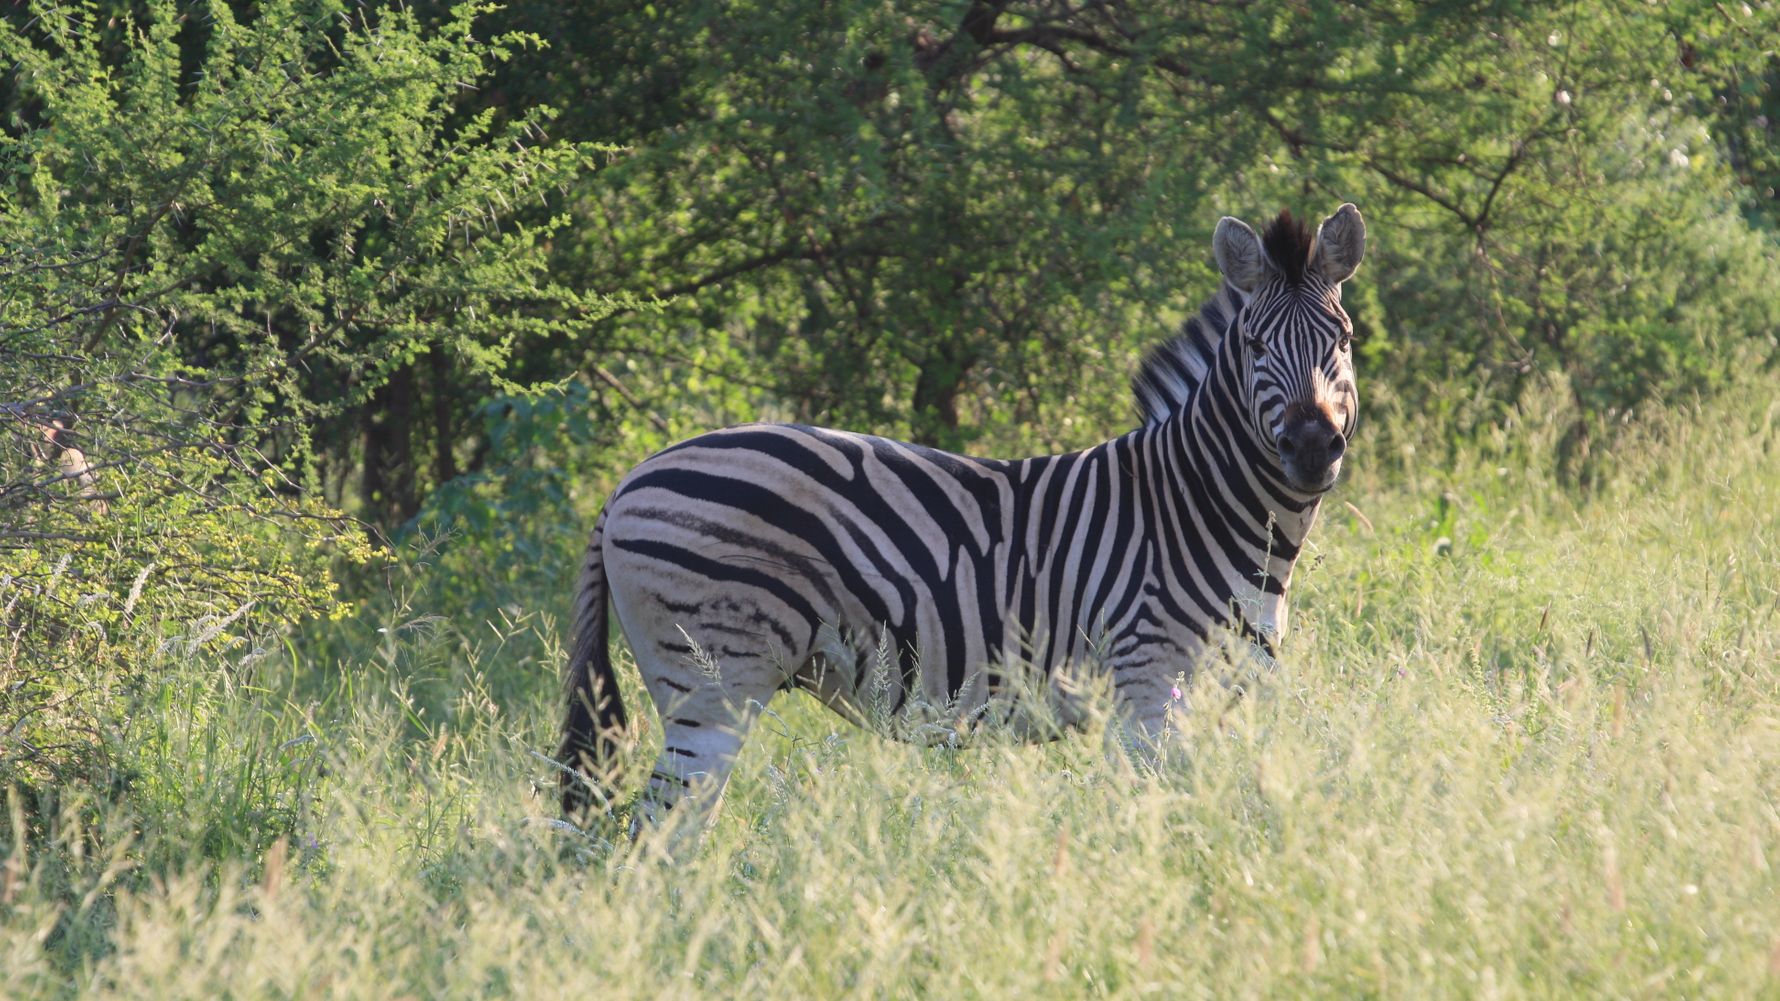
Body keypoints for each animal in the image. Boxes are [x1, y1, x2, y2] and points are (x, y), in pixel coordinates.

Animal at [558, 204, 1366, 835]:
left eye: (1343, 339)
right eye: (1256, 345)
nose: (1312, 445)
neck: (1199, 507)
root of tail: (627, 480)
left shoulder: (1225, 696)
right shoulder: (1146, 688)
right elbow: (1156, 822)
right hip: (712, 689)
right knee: (655, 836)